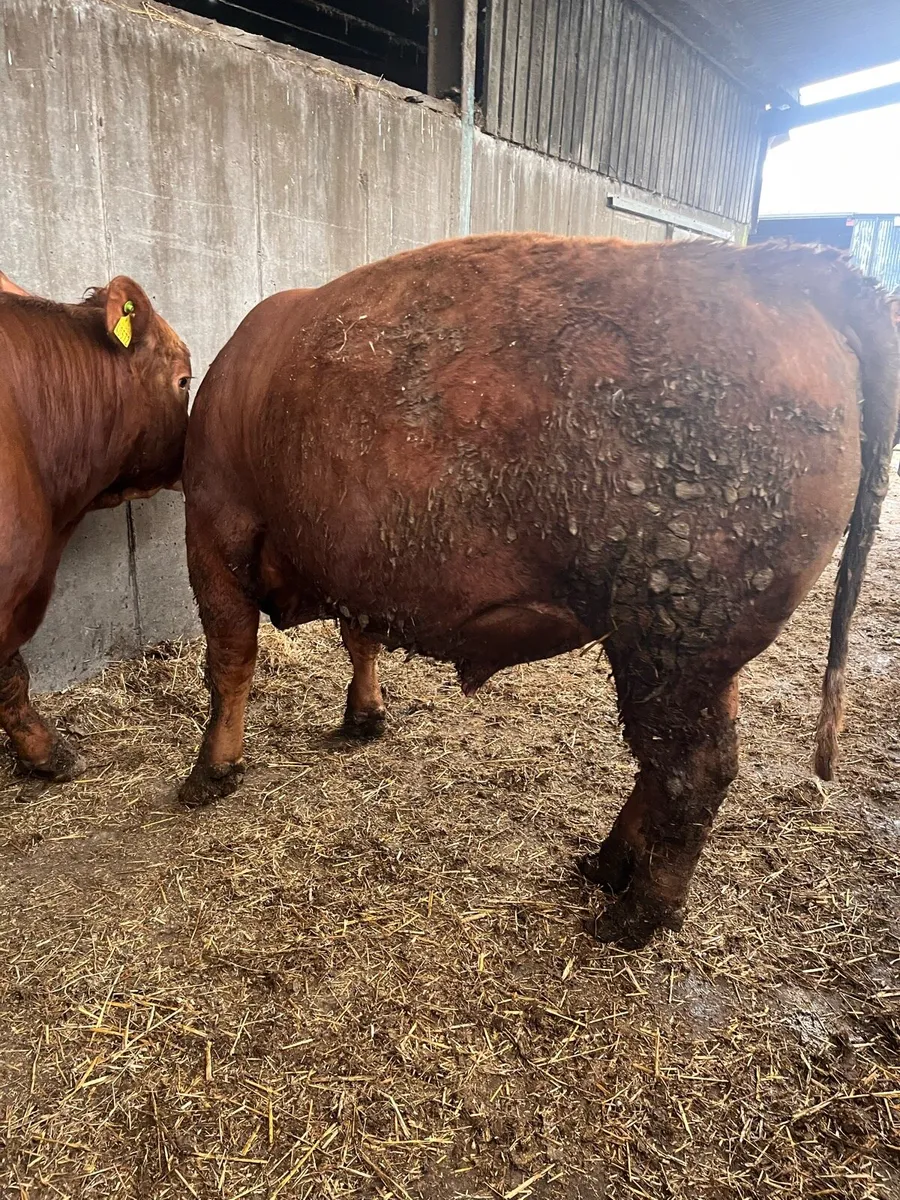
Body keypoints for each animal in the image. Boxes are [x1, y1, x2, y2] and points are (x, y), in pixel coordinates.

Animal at [178, 234, 898, 948]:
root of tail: (787, 271)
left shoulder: (214, 528)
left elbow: (230, 661)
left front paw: (210, 771)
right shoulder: (355, 564)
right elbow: (361, 639)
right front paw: (364, 716)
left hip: (669, 639)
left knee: (690, 767)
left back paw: (634, 916)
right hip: (696, 653)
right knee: (666, 761)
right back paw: (607, 867)